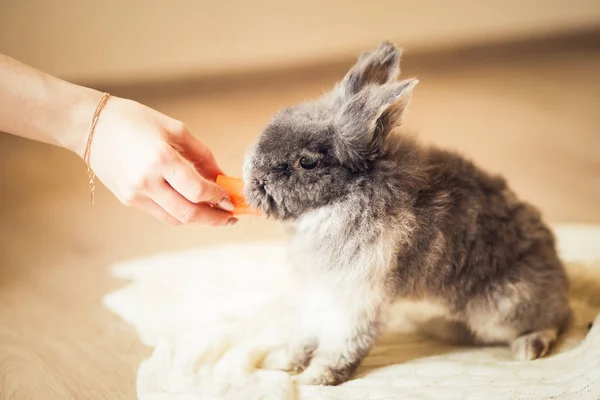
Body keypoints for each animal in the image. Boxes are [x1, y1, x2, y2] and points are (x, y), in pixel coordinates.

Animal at [241, 42, 568, 386]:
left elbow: (343, 342)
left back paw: (529, 347)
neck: (343, 199)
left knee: (555, 320)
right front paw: (280, 361)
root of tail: (558, 274)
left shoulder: (360, 294)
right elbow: (306, 332)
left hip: (503, 308)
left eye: (307, 162)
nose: (251, 180)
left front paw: (316, 378)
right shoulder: (322, 291)